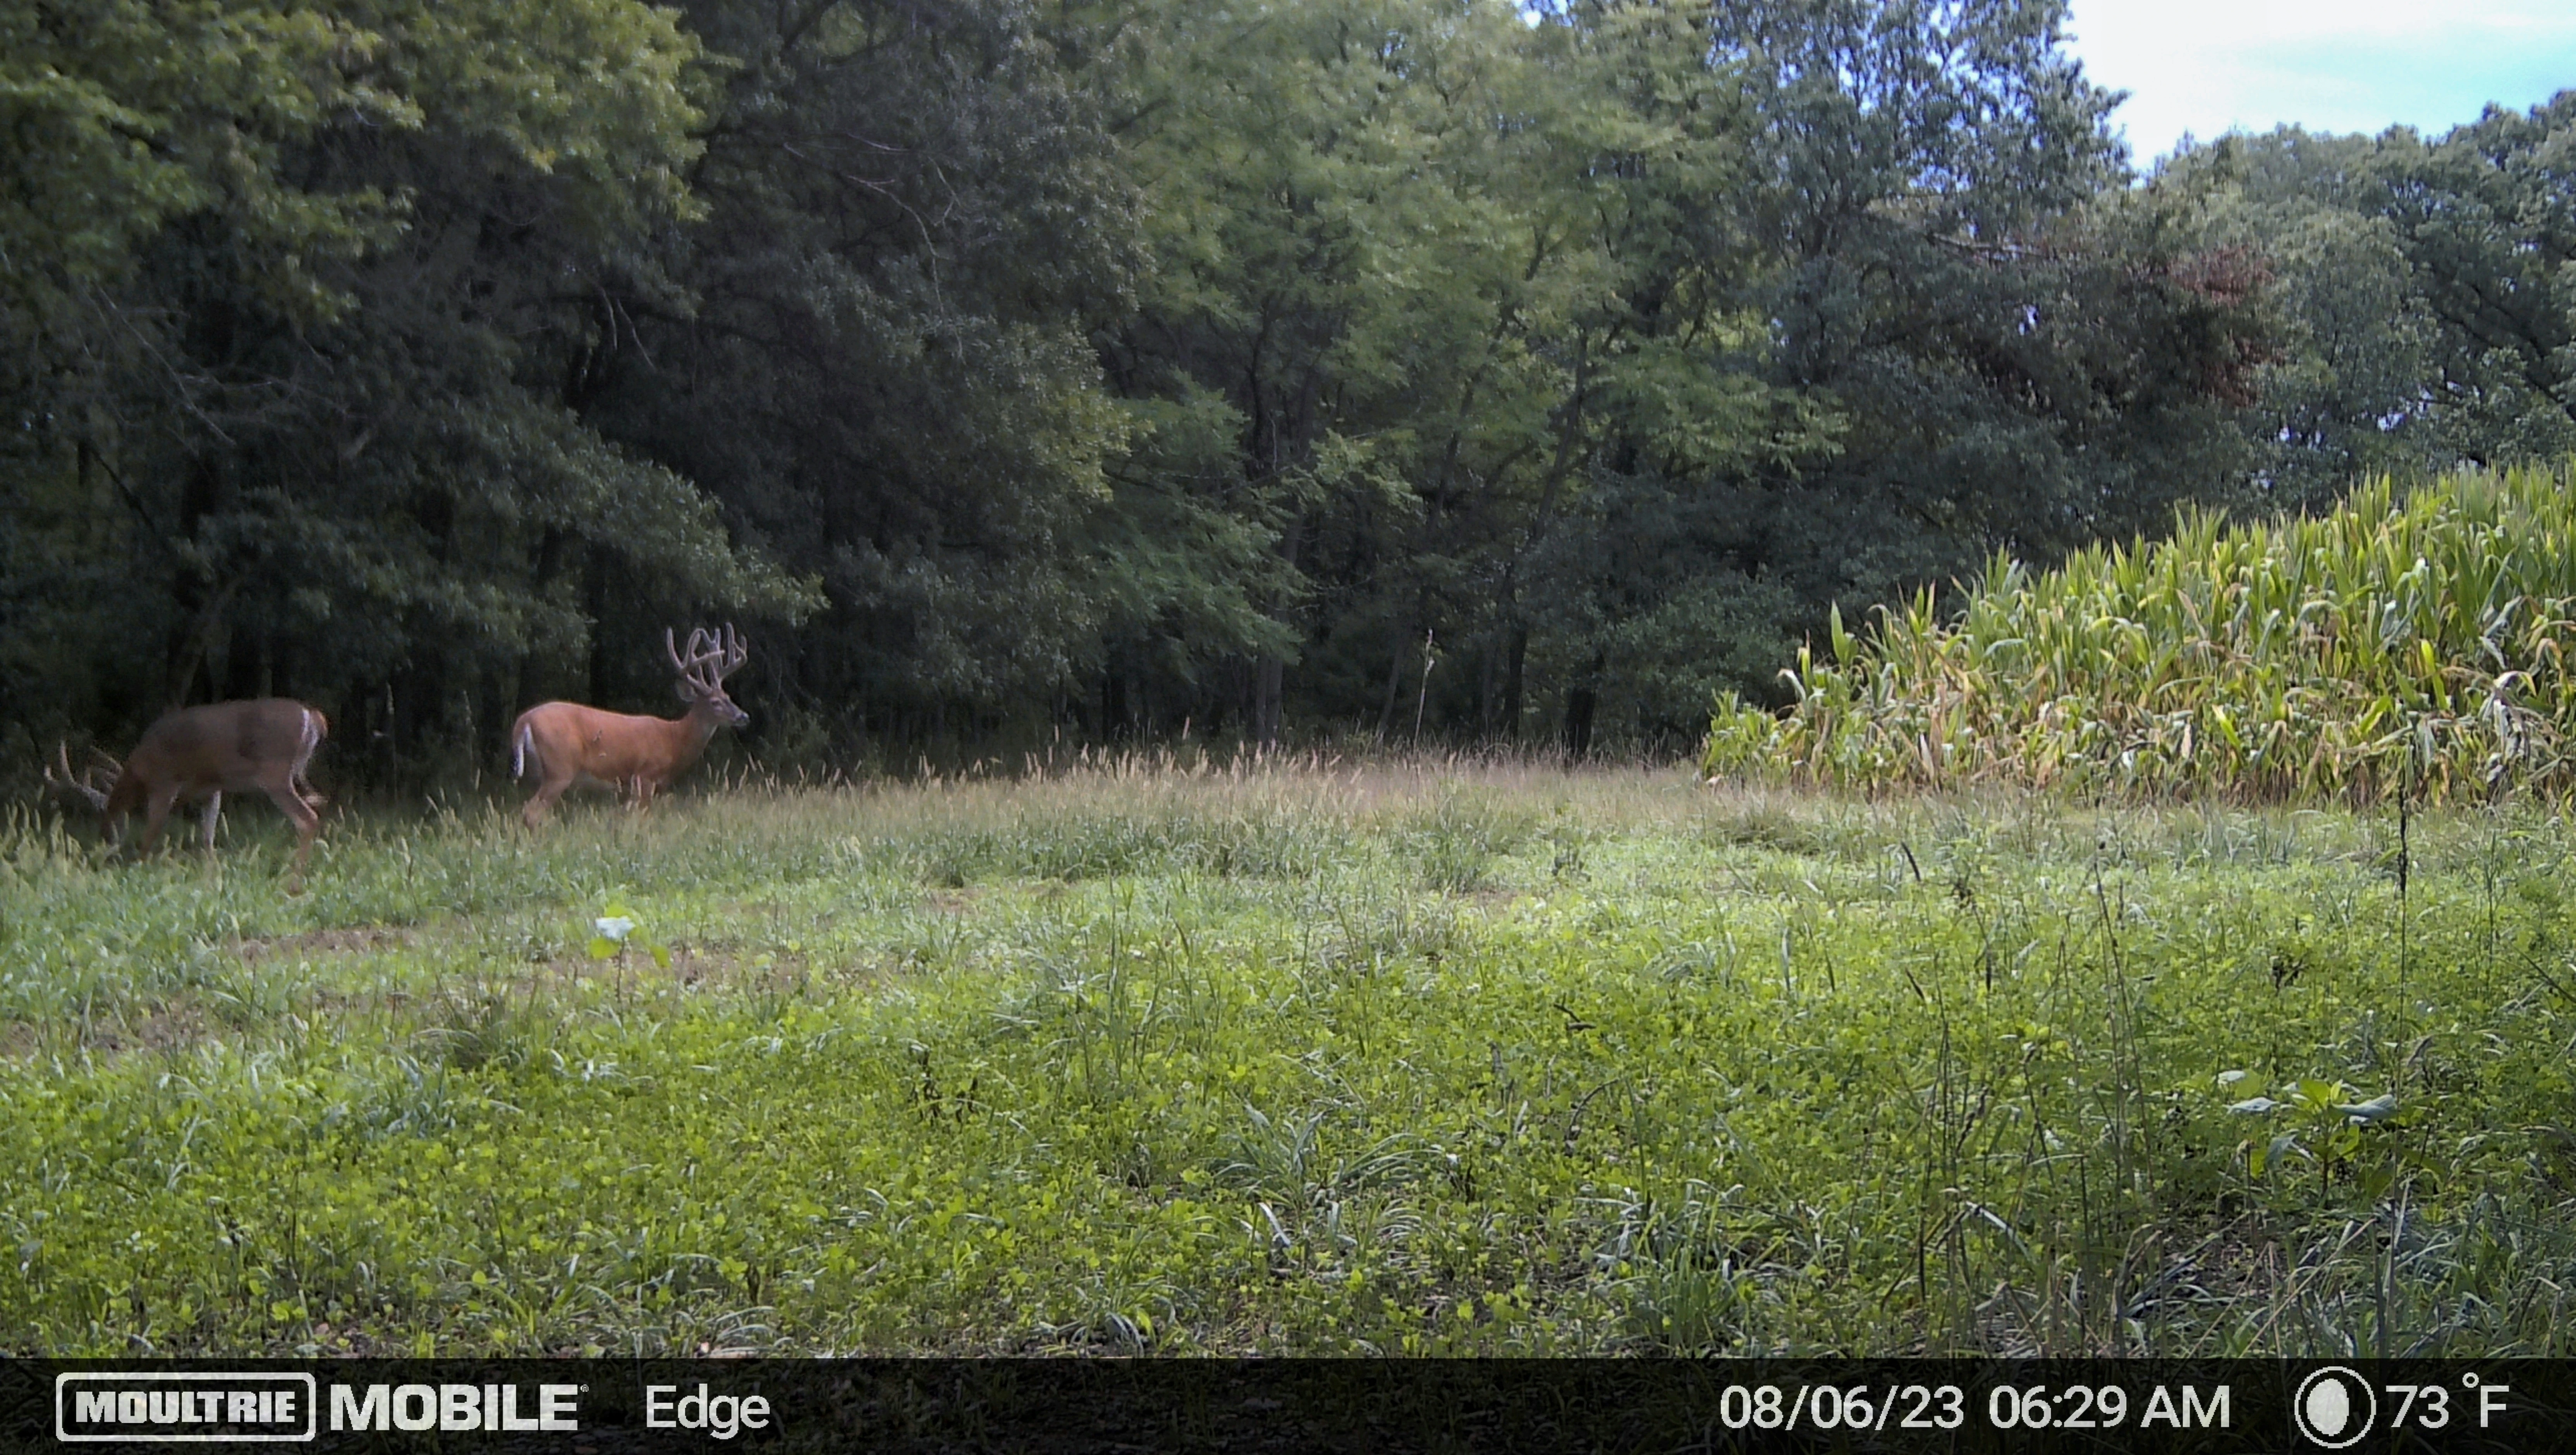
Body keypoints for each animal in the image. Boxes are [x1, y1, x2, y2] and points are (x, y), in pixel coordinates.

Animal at [44, 695, 332, 886]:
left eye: (104, 816)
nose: (101, 845)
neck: (141, 768)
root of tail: (313, 717)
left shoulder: (164, 784)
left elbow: (149, 837)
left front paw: (138, 871)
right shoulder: (211, 788)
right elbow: (207, 838)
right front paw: (212, 880)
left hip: (275, 773)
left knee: (307, 819)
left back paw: (294, 882)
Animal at [502, 620, 747, 829]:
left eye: (728, 696)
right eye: (715, 703)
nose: (743, 716)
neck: (674, 739)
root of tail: (524, 720)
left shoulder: (628, 785)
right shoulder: (646, 774)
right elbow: (643, 818)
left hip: (536, 772)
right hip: (560, 767)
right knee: (532, 810)